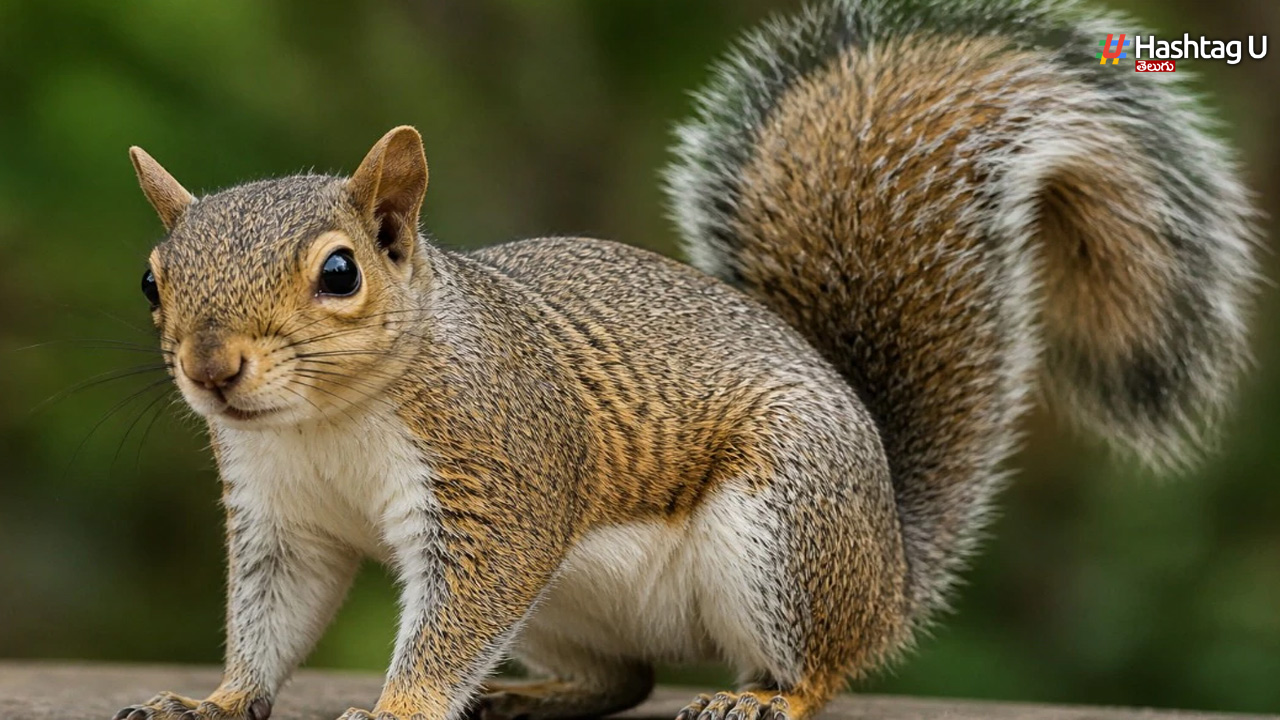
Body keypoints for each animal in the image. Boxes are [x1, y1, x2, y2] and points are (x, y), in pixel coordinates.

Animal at [114, 0, 1260, 719]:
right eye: (153, 282)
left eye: (341, 273)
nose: (211, 370)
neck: (328, 421)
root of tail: (890, 566)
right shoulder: (282, 519)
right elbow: (274, 616)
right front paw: (212, 700)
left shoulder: (503, 483)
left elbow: (456, 614)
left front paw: (398, 709)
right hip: (567, 603)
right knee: (622, 679)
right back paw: (527, 695)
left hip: (783, 531)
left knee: (817, 667)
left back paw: (755, 701)